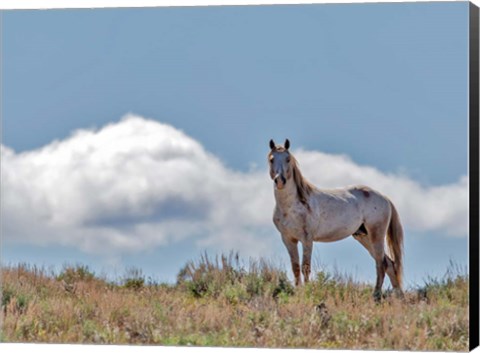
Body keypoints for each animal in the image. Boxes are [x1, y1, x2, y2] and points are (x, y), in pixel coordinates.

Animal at [268, 139, 404, 298]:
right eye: (271, 159)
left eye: (288, 159)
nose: (280, 181)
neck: (292, 206)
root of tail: (384, 198)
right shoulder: (288, 239)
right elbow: (295, 267)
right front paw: (298, 292)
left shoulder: (307, 239)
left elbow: (305, 267)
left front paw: (307, 292)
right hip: (364, 237)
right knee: (390, 264)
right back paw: (399, 297)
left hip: (376, 235)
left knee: (381, 264)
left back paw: (376, 296)